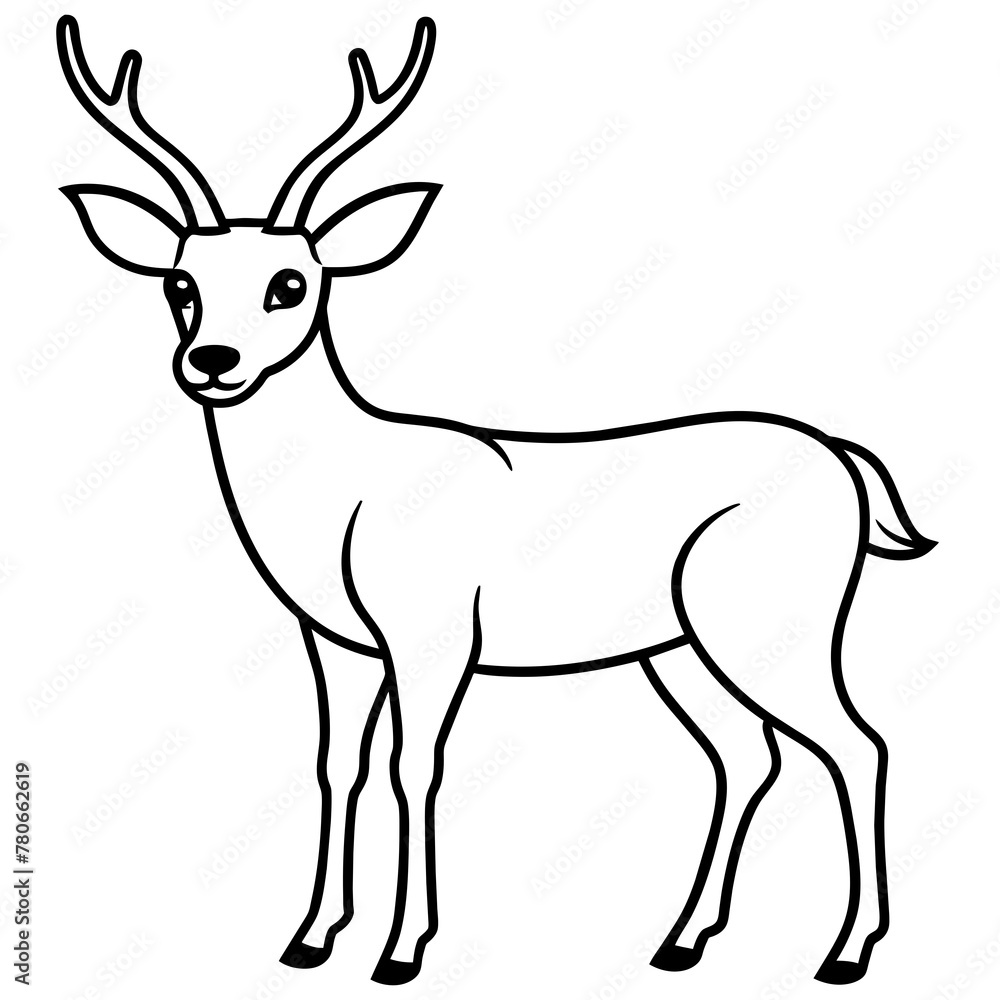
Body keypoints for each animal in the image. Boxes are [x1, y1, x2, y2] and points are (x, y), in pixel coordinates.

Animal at [56, 13, 936, 987]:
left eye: (292, 284)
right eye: (180, 282)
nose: (213, 362)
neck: (345, 497)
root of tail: (846, 462)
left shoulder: (433, 633)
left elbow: (415, 767)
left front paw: (402, 950)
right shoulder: (336, 641)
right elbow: (336, 766)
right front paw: (310, 938)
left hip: (775, 621)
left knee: (859, 744)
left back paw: (845, 952)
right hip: (678, 646)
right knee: (749, 756)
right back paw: (680, 942)